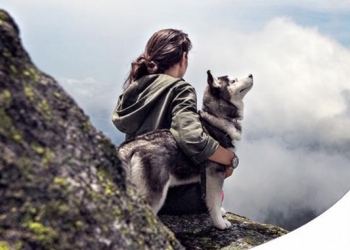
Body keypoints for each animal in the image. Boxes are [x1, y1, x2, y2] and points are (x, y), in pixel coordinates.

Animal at [119, 70, 253, 229]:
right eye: (233, 81)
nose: (251, 75)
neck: (215, 118)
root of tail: (130, 146)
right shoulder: (215, 174)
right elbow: (214, 201)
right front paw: (219, 223)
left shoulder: (206, 179)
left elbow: (212, 200)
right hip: (155, 192)